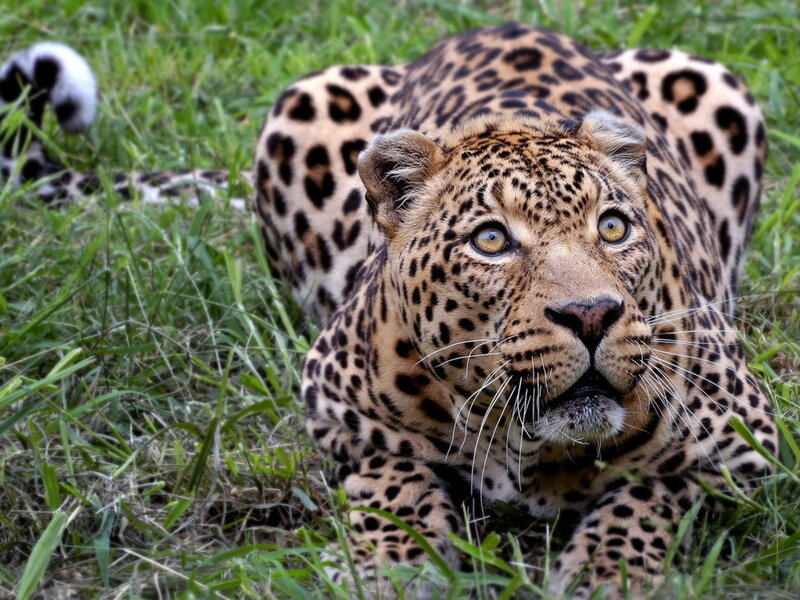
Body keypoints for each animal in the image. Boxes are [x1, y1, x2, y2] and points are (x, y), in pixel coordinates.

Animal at [1, 23, 778, 599]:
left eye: (613, 228)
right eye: (491, 240)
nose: (591, 315)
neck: (530, 448)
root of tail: (499, 22)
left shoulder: (747, 445)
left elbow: (651, 493)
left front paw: (604, 572)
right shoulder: (336, 406)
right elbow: (392, 477)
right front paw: (390, 565)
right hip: (303, 102)